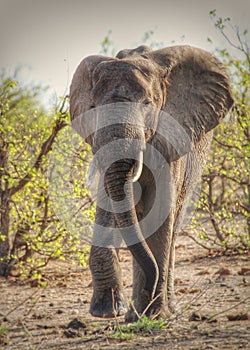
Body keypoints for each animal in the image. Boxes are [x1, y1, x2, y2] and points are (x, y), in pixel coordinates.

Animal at [69, 45, 233, 322]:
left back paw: (162, 308)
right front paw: (109, 311)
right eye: (92, 106)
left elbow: (159, 212)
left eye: (147, 104)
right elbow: (110, 203)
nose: (149, 286)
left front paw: (152, 314)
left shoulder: (171, 140)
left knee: (173, 225)